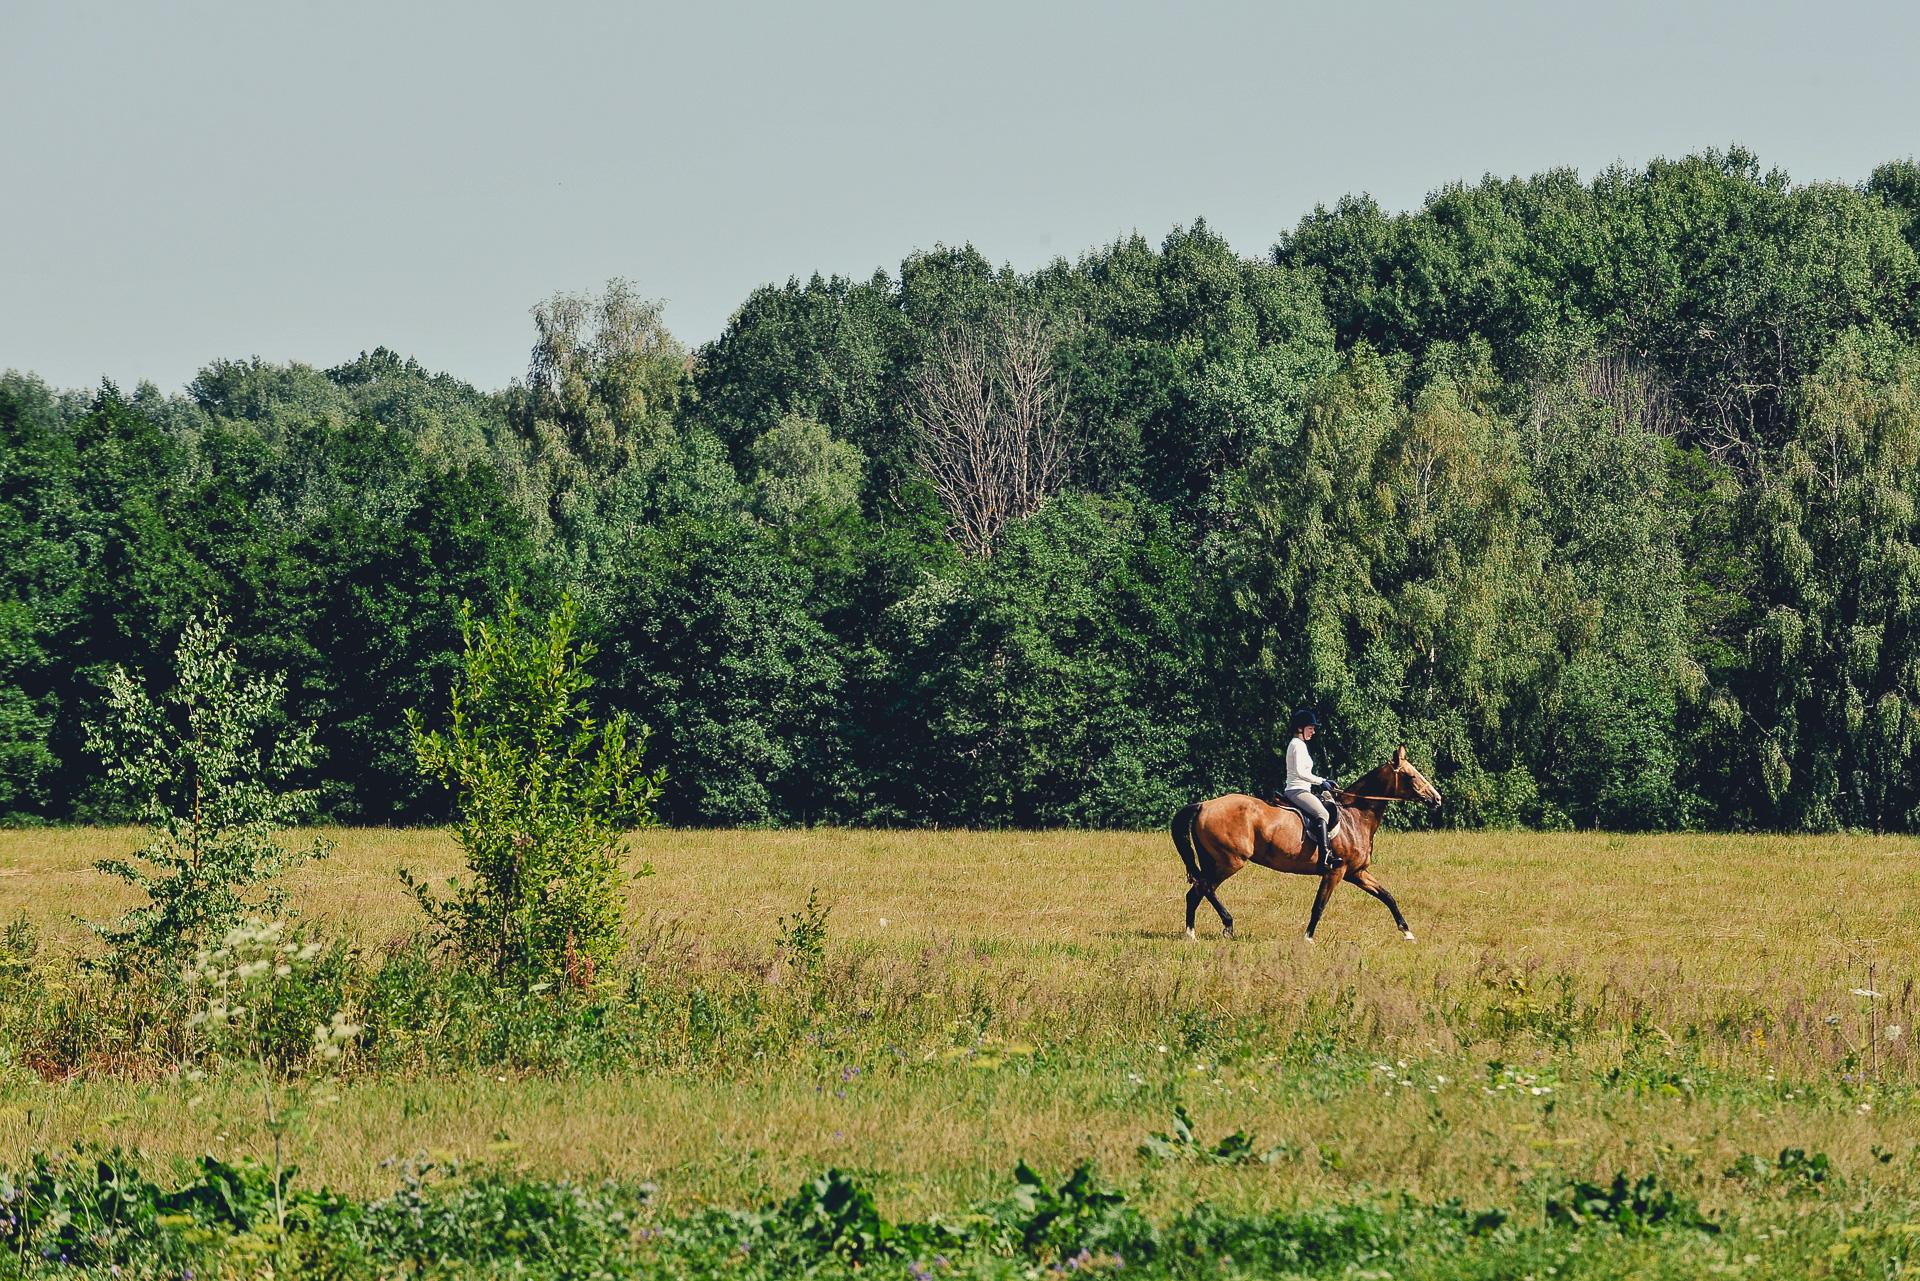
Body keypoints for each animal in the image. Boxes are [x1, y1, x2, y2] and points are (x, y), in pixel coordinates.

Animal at [1167, 752, 1443, 941]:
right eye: (1410, 776)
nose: (1436, 799)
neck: (1355, 816)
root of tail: (1204, 804)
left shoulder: (1357, 873)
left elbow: (1387, 896)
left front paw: (1407, 932)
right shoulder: (1336, 872)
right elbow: (1319, 905)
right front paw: (1308, 938)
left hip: (1213, 860)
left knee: (1197, 891)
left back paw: (1192, 932)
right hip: (1230, 861)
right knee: (1203, 888)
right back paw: (1225, 925)